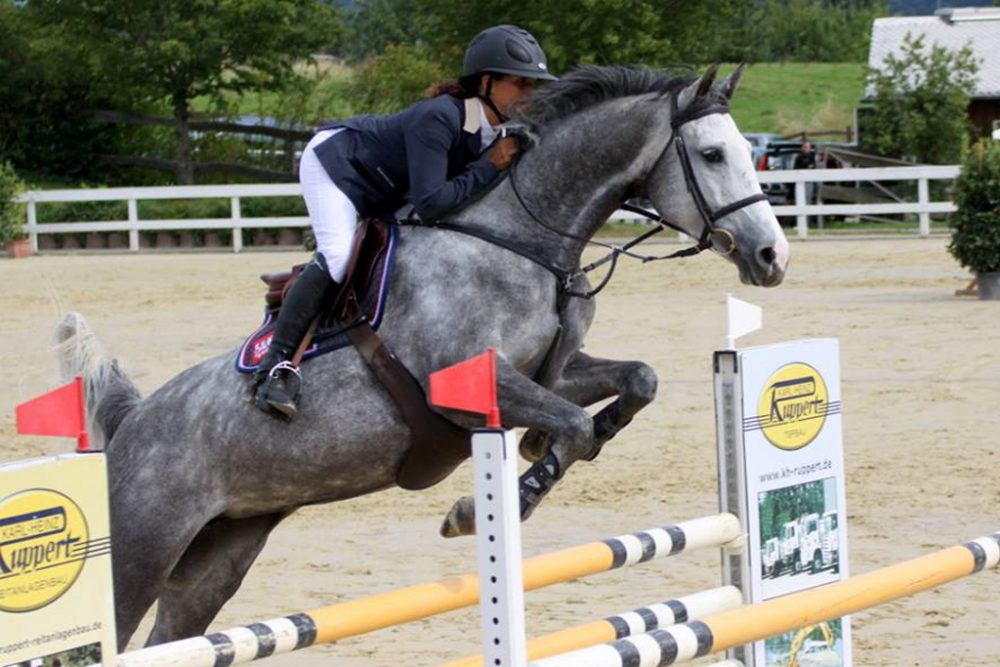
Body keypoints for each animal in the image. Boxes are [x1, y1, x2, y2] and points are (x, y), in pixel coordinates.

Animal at [56, 65, 788, 648]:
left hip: (218, 555)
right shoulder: (463, 389)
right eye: (714, 153)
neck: (519, 240)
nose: (772, 257)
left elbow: (636, 382)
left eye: (748, 152)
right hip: (139, 554)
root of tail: (128, 426)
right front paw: (487, 505)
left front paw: (544, 448)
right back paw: (278, 383)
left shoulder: (550, 371)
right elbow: (573, 426)